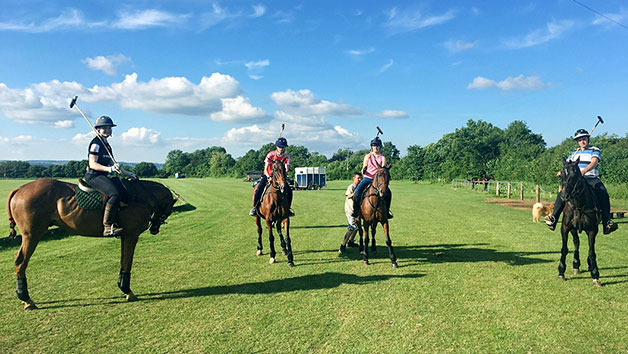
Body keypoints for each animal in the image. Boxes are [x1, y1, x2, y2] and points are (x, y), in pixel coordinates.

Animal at [6, 178, 177, 308]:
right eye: (169, 208)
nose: (154, 228)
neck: (141, 196)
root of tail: (19, 189)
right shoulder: (131, 235)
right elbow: (127, 261)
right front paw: (127, 290)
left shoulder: (126, 236)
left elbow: (124, 260)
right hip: (31, 235)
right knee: (21, 262)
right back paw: (26, 299)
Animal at [560, 158, 604, 288]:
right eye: (561, 174)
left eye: (575, 174)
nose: (564, 196)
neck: (579, 205)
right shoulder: (565, 227)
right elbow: (564, 249)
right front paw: (561, 272)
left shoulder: (592, 230)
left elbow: (592, 252)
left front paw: (595, 275)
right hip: (573, 229)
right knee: (576, 242)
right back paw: (576, 264)